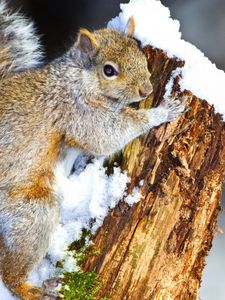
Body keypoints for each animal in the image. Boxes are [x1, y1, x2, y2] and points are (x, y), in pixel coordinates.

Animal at [0, 1, 186, 298]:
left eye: (139, 52)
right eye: (109, 70)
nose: (146, 90)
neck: (79, 78)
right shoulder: (77, 112)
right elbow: (105, 134)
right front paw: (161, 112)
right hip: (31, 210)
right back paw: (31, 288)